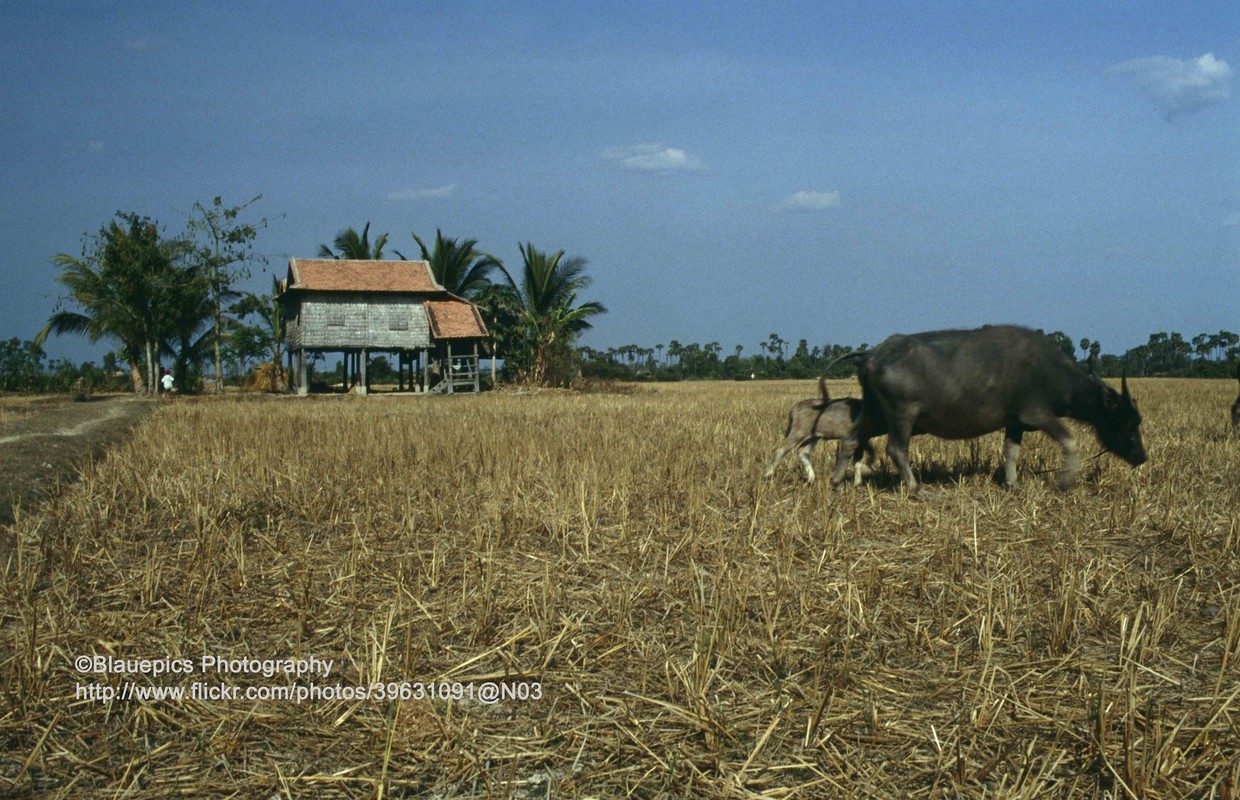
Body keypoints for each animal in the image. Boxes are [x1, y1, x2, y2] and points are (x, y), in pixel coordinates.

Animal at [828, 324, 1145, 493]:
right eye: (1127, 423)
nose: (1142, 456)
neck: (1051, 371)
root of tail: (874, 354)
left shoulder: (1015, 422)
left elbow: (1011, 452)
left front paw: (1013, 483)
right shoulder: (1039, 414)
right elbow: (1069, 440)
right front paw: (1064, 480)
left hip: (874, 412)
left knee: (851, 438)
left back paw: (836, 481)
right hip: (901, 415)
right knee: (896, 449)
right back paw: (917, 488)